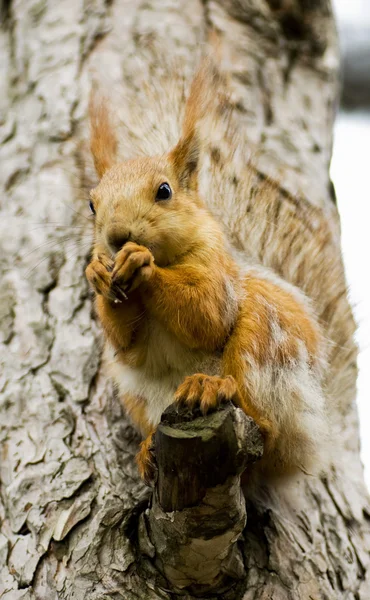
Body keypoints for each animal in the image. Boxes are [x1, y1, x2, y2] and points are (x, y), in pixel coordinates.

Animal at [86, 59, 326, 482]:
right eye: (91, 205)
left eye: (164, 191)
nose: (116, 237)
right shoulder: (127, 346)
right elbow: (126, 343)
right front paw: (97, 274)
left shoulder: (218, 270)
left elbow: (207, 313)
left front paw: (143, 265)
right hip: (136, 393)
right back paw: (147, 450)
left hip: (264, 345)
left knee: (267, 428)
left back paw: (211, 388)